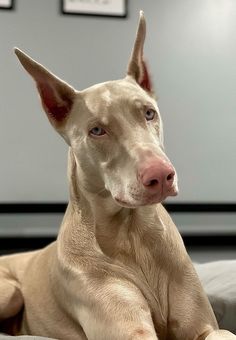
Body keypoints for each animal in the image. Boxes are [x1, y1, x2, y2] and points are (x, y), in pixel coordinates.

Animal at [0, 10, 236, 340]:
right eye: (97, 130)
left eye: (149, 113)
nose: (161, 175)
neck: (133, 234)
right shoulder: (130, 331)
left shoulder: (204, 326)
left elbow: (221, 332)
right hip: (9, 290)